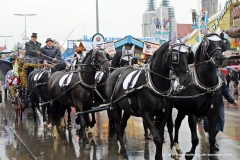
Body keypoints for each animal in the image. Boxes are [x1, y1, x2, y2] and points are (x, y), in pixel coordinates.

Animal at [169, 30, 229, 159]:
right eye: (208, 43)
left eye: (220, 43)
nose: (219, 58)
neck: (207, 85)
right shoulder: (192, 114)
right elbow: (195, 139)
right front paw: (190, 154)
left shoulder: (213, 115)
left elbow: (212, 137)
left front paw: (212, 154)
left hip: (182, 109)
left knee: (177, 123)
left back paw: (176, 145)